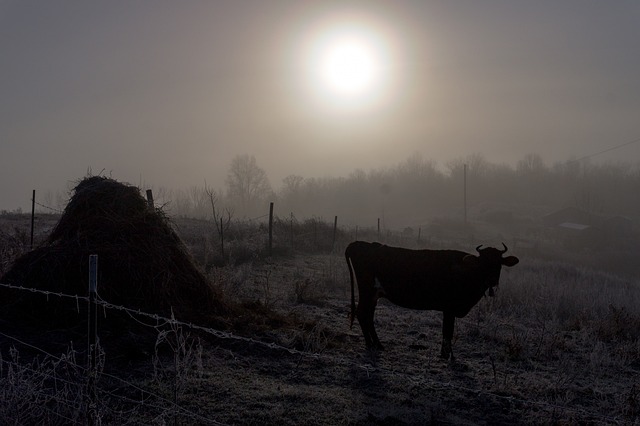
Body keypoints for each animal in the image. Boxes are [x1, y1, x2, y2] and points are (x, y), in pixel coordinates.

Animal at [344, 241, 520, 358]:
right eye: (482, 263)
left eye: (499, 263)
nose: (492, 280)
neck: (466, 271)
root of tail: (360, 243)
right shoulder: (449, 308)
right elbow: (448, 331)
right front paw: (448, 356)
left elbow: (447, 331)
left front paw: (445, 354)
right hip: (367, 291)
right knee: (362, 313)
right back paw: (369, 344)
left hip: (374, 295)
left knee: (368, 316)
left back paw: (378, 344)